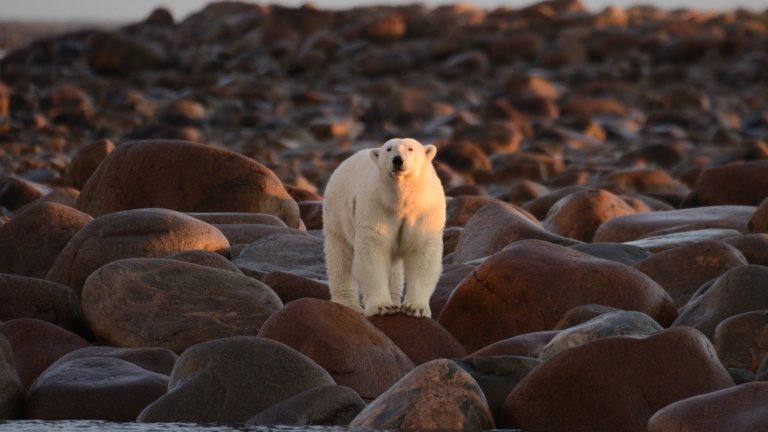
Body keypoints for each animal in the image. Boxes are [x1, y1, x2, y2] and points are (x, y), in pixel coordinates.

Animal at [322, 138, 444, 318]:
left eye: (410, 148)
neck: (400, 201)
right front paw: (382, 307)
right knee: (340, 256)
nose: (398, 160)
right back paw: (348, 304)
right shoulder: (376, 206)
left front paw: (415, 308)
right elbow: (373, 251)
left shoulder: (425, 211)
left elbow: (423, 252)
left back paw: (394, 299)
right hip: (337, 214)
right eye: (388, 149)